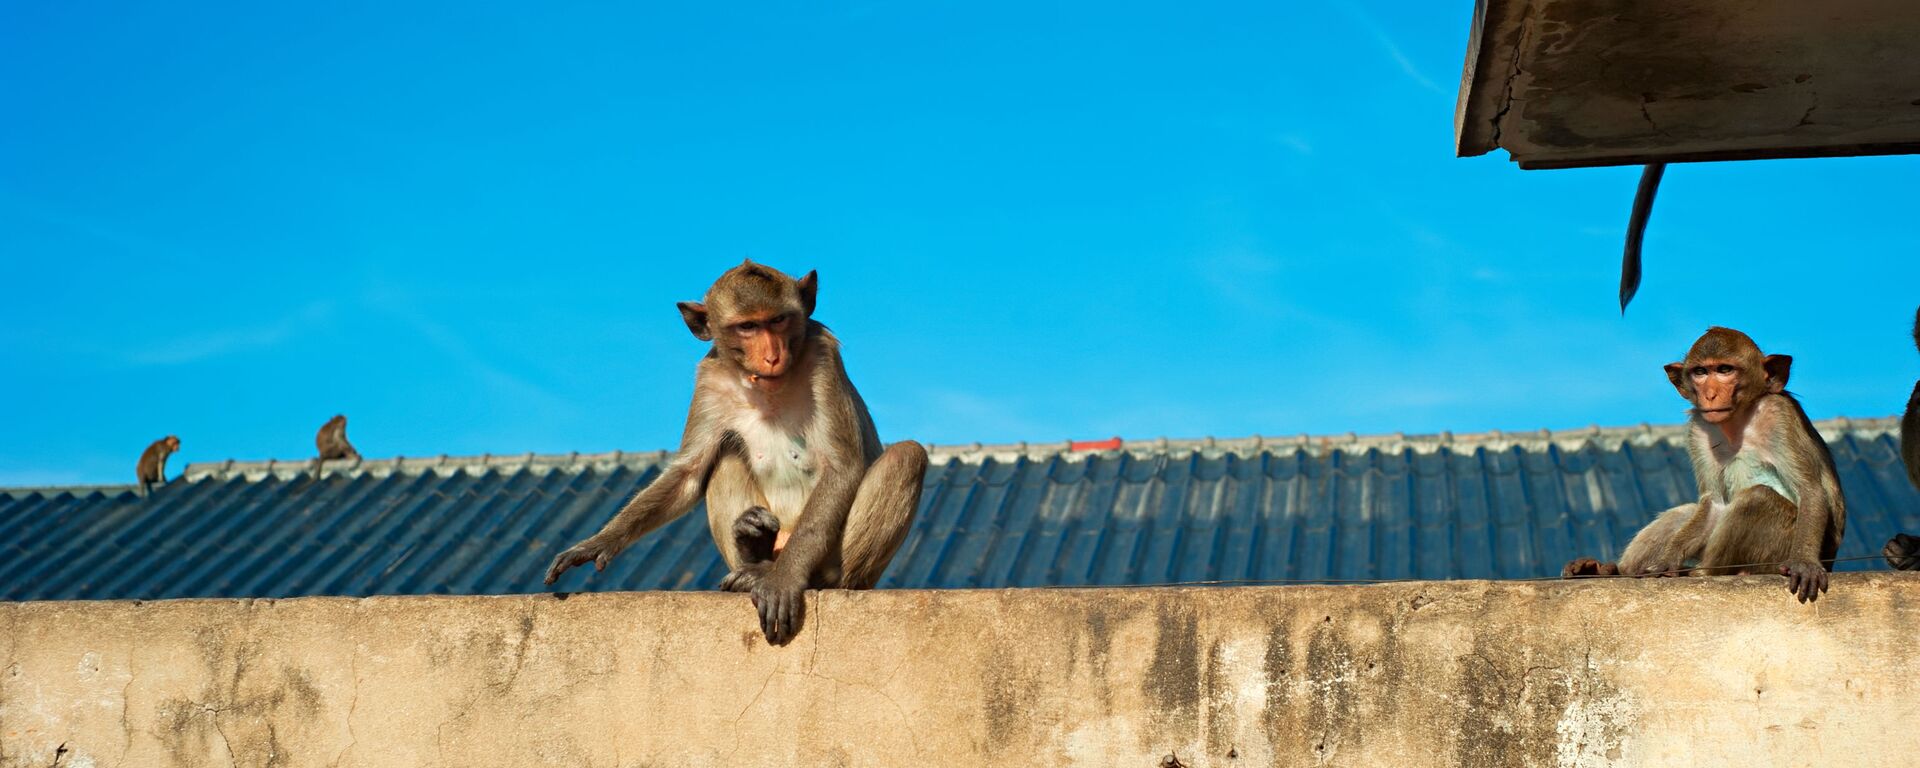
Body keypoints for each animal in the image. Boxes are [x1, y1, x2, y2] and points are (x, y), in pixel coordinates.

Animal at [545, 261, 925, 645]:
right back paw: (752, 556)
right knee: (723, 459)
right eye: (747, 327)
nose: (772, 355)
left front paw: (785, 580)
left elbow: (841, 467)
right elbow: (689, 473)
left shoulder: (823, 358)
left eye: (778, 320)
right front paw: (598, 542)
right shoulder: (709, 379)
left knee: (906, 456)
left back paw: (806, 577)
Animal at [1559, 326, 1843, 602]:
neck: (1738, 421)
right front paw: (1666, 561)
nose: (1710, 394)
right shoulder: (1700, 427)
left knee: (1758, 498)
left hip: (1773, 556)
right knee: (1686, 512)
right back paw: (1609, 570)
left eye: (1725, 370)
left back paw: (1700, 573)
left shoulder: (1779, 414)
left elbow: (1809, 490)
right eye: (1701, 372)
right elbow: (1713, 503)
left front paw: (1804, 563)